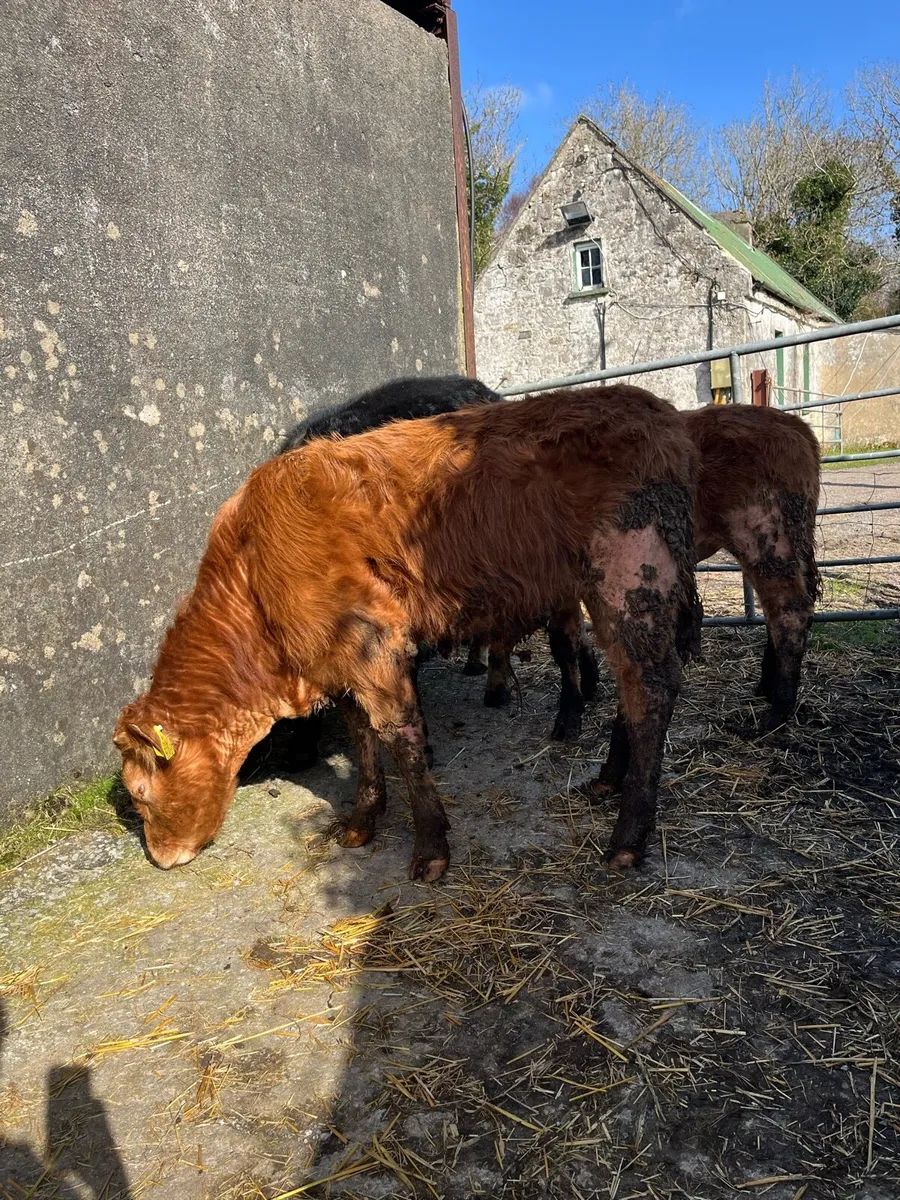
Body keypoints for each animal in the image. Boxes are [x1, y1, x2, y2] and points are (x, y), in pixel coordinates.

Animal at [114, 385, 699, 880]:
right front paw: (361, 824)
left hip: (630, 576)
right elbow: (363, 739)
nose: (160, 858)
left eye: (140, 792)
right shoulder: (337, 661)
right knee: (631, 684)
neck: (254, 572)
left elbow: (400, 737)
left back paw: (628, 836)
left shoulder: (374, 644)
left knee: (652, 687)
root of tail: (655, 410)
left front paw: (431, 848)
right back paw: (607, 780)